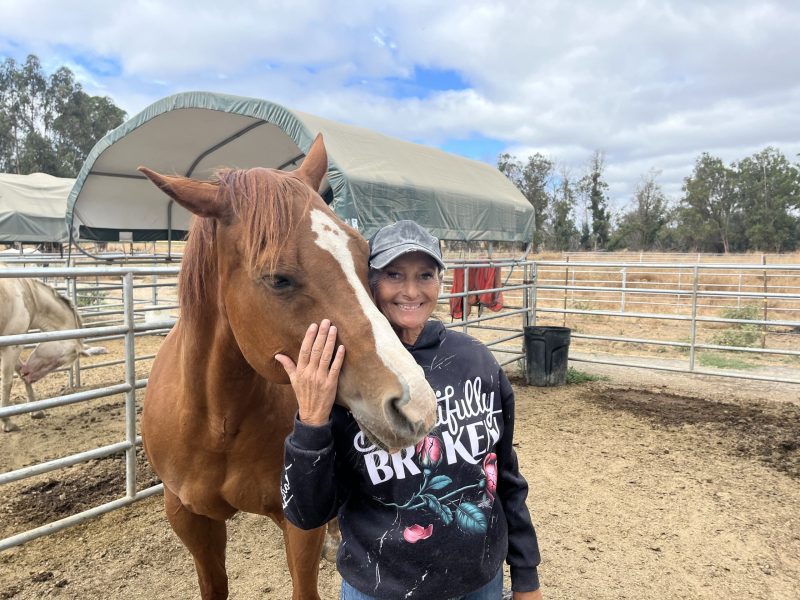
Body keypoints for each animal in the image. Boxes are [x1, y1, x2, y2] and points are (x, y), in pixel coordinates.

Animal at [0, 277, 107, 432]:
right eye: (59, 360)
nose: (30, 376)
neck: (26, 294)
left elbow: (19, 372)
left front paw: (36, 411)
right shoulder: (11, 347)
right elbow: (7, 382)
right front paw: (7, 422)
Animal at [140, 134, 438, 600]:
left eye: (363, 256)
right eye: (278, 279)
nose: (416, 406)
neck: (215, 422)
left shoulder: (298, 524)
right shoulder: (188, 518)